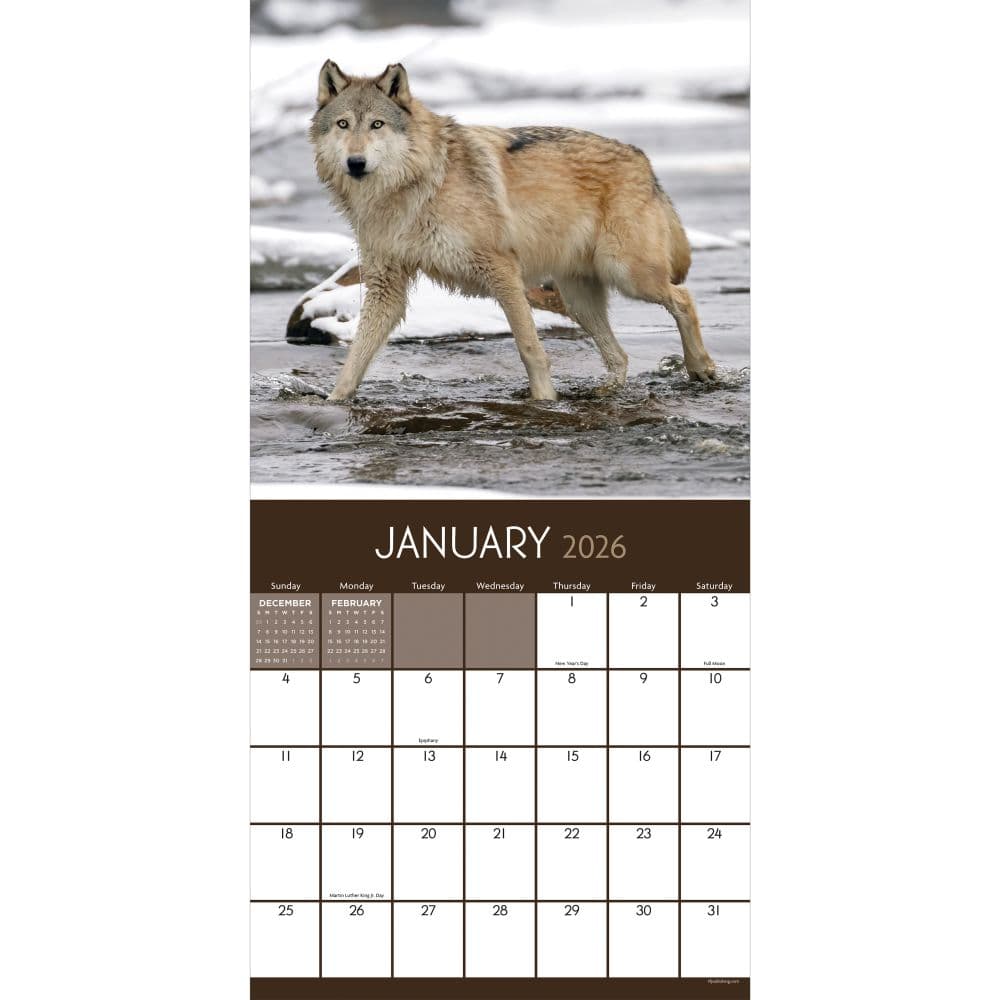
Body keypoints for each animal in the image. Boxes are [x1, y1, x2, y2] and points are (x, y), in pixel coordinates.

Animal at [310, 62, 716, 402]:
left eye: (377, 124)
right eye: (343, 124)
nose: (356, 162)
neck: (414, 187)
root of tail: (644, 161)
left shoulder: (502, 270)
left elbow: (529, 347)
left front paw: (545, 401)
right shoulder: (386, 287)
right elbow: (356, 358)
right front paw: (334, 402)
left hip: (628, 275)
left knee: (684, 299)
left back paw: (702, 368)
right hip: (580, 300)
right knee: (620, 355)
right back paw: (607, 391)